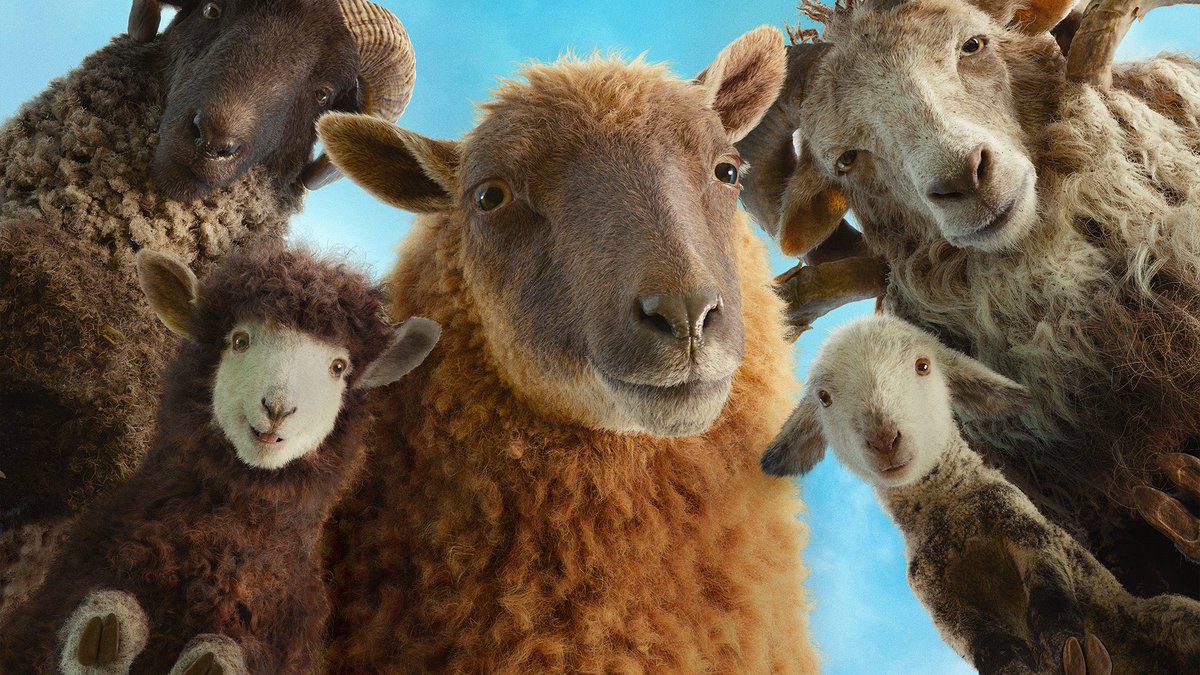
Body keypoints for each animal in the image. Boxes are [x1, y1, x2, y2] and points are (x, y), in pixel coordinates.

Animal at [0, 244, 440, 675]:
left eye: (338, 367)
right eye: (239, 341)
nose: (278, 408)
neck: (213, 542)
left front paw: (211, 658)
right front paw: (104, 634)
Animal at [763, 314, 1200, 674]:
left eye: (923, 366)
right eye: (824, 397)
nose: (884, 439)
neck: (953, 511)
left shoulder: (1025, 525)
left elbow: (1050, 595)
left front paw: (1068, 648)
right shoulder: (936, 597)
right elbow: (983, 644)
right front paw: (1019, 665)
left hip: (1169, 614)